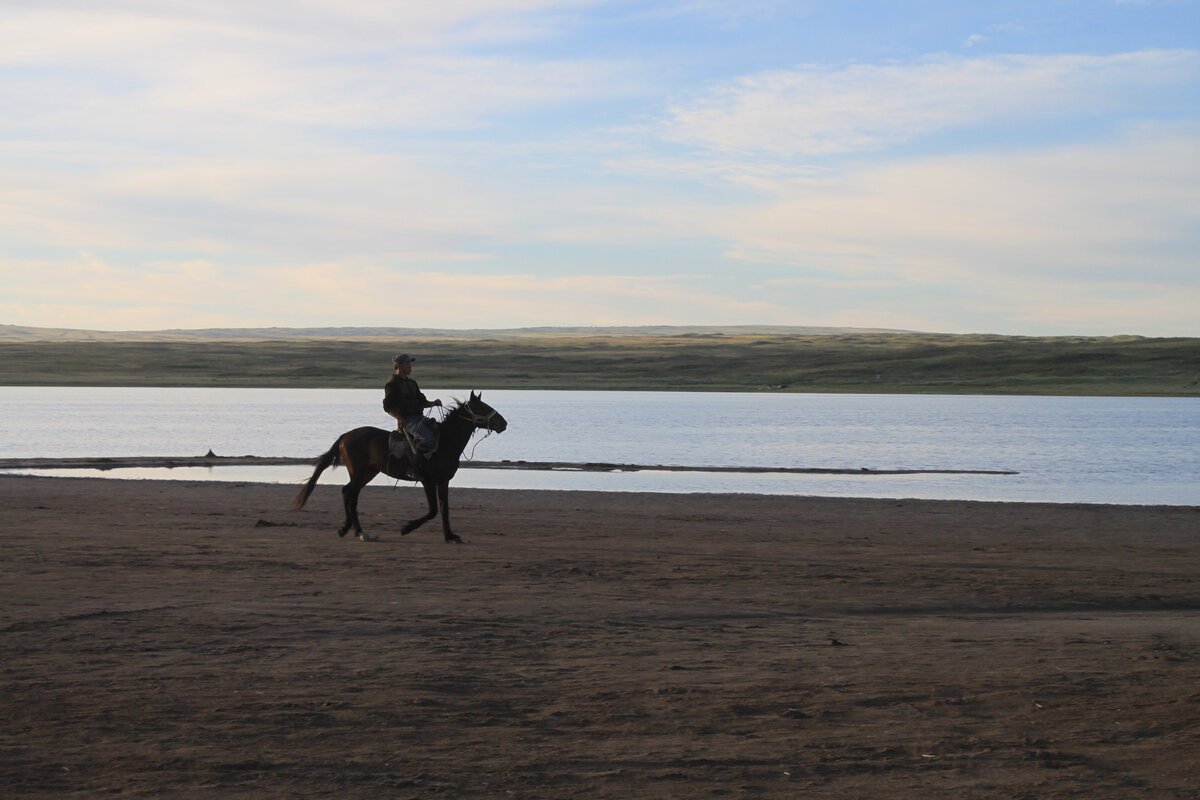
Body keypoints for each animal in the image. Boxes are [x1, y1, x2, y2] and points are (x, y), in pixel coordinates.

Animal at [300, 388, 511, 542]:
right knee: (351, 497)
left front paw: (450, 536)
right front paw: (406, 528)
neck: (444, 443)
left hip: (369, 472)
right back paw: (359, 532)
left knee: (347, 492)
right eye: (482, 407)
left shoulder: (443, 482)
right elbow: (433, 510)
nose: (504, 423)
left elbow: (444, 509)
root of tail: (346, 436)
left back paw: (346, 528)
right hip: (359, 472)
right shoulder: (427, 481)